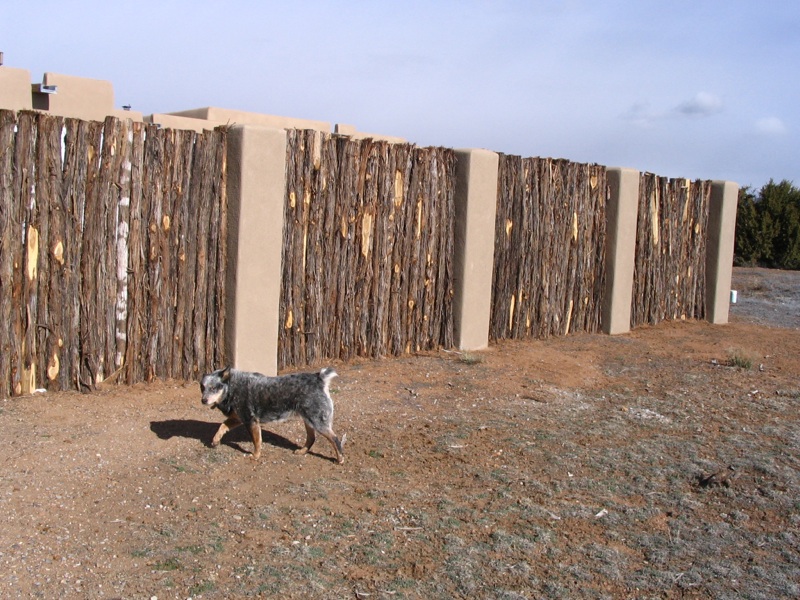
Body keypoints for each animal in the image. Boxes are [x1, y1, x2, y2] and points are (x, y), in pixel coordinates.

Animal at [200, 366, 344, 464]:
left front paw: (256, 456)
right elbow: (222, 426)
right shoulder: (237, 418)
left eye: (213, 388)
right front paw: (215, 441)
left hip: (318, 422)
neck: (232, 387)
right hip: (308, 420)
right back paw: (302, 451)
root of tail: (319, 378)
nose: (203, 400)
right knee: (311, 438)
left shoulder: (251, 421)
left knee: (335, 439)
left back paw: (340, 459)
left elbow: (257, 441)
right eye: (202, 387)